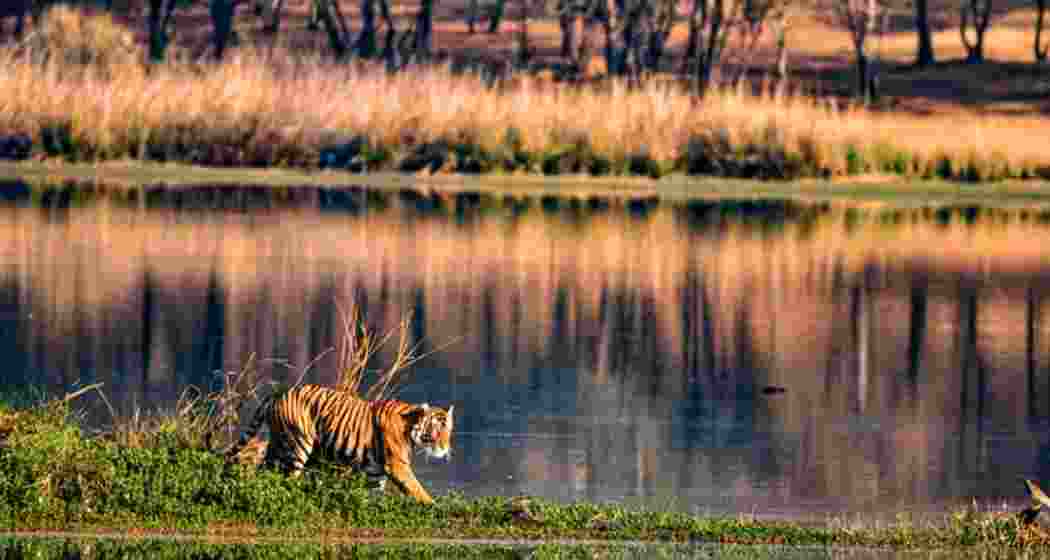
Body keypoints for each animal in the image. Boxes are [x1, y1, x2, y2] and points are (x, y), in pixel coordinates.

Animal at [229, 384, 454, 504]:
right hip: (297, 444)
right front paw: (432, 505)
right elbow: (417, 489)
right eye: (436, 431)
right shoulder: (398, 465)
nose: (445, 450)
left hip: (279, 445)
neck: (411, 427)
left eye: (449, 431)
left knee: (264, 471)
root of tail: (279, 392)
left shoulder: (374, 471)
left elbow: (370, 493)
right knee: (287, 477)